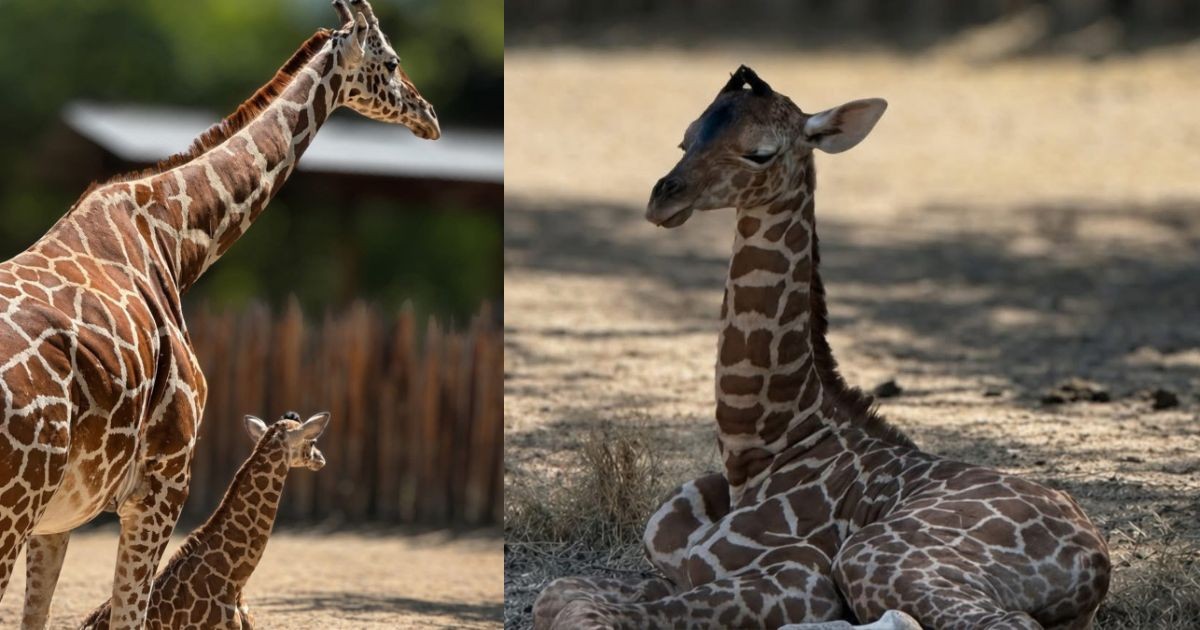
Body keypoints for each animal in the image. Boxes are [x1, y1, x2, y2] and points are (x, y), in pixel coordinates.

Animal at [533, 66, 1111, 630]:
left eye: (760, 152)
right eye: (685, 138)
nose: (663, 199)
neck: (759, 451)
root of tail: (1095, 561)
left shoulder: (802, 580)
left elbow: (587, 614)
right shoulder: (676, 569)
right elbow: (559, 594)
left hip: (874, 556)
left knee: (1001, 623)